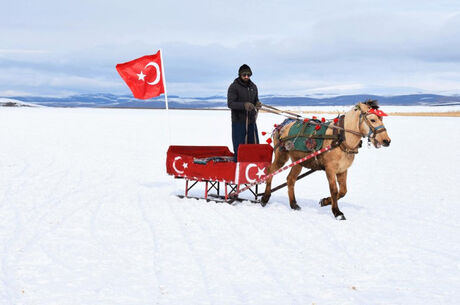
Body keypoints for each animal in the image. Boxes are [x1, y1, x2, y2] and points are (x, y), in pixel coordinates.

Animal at [262, 100, 392, 218]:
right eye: (373, 120)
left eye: (382, 119)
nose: (387, 141)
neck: (340, 139)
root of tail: (281, 125)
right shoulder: (330, 169)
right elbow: (334, 189)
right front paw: (337, 212)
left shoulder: (343, 169)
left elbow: (343, 191)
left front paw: (325, 201)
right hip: (281, 155)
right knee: (270, 171)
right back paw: (264, 198)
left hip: (298, 161)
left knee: (290, 179)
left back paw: (294, 204)